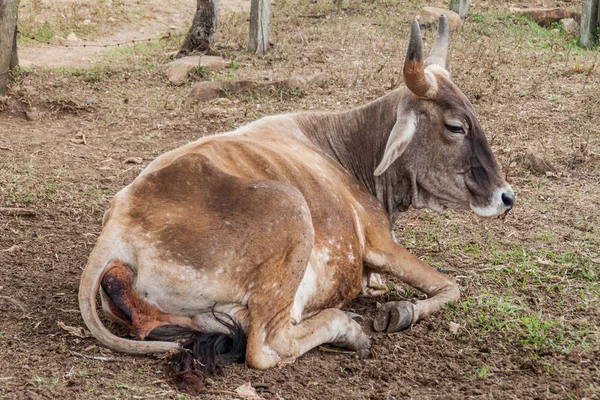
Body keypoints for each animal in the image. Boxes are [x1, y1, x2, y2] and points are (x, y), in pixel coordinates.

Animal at [77, 14, 512, 378]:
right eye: (455, 126)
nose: (506, 197)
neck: (347, 148)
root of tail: (119, 224)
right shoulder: (379, 242)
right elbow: (450, 286)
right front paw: (399, 311)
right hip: (291, 211)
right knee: (267, 346)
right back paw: (348, 329)